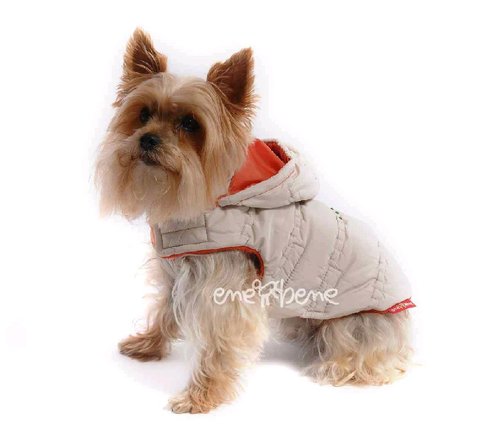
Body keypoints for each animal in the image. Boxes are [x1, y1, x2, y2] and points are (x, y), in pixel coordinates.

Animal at [96, 29, 414, 414]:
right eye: (142, 114)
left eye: (190, 123)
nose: (147, 139)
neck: (199, 203)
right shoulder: (175, 272)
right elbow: (165, 308)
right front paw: (148, 344)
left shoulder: (224, 286)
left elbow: (219, 344)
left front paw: (202, 396)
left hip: (353, 323)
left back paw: (335, 366)